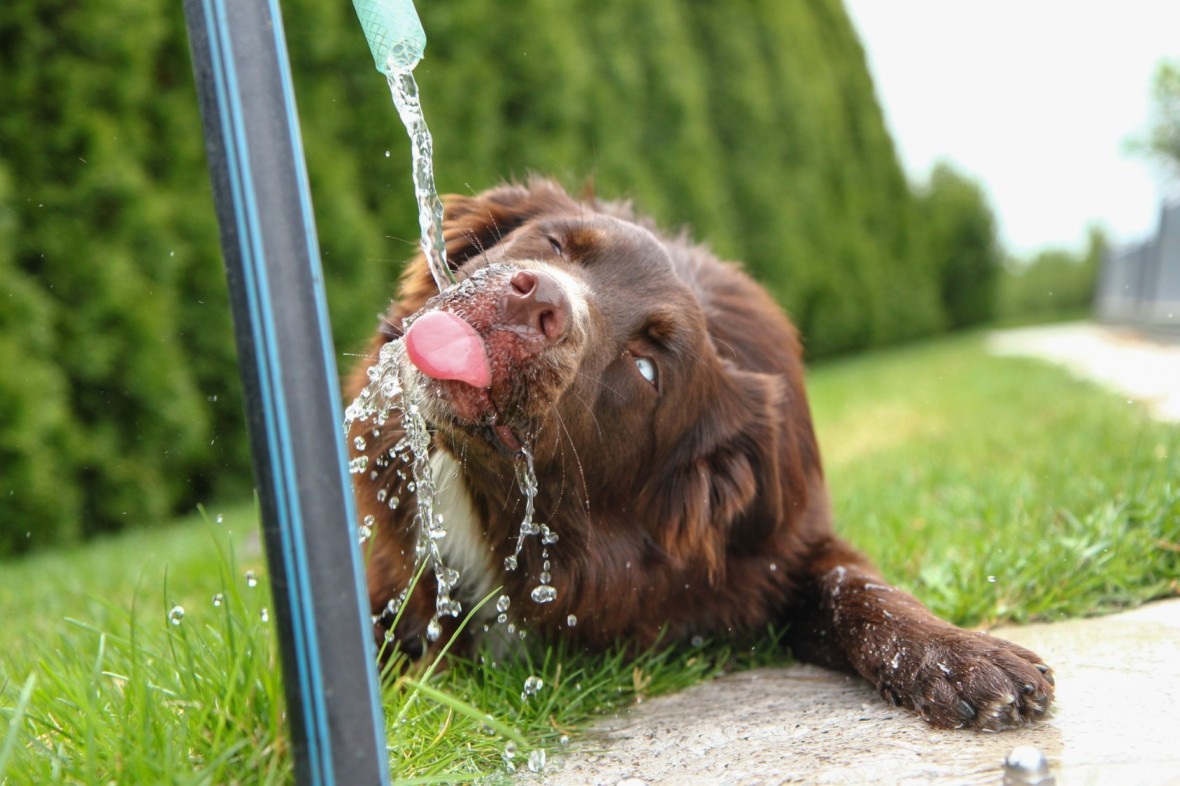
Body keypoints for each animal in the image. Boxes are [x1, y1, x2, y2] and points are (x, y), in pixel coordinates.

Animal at [344, 177, 1057, 726]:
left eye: (646, 368)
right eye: (556, 245)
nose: (538, 300)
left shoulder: (784, 550)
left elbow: (860, 587)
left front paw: (962, 656)